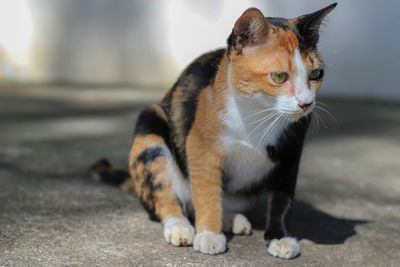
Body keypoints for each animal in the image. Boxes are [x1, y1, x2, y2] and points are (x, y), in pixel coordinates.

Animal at [90, 3, 338, 260]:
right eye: (279, 76)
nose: (306, 103)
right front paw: (209, 234)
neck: (257, 114)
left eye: (316, 74)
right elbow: (206, 188)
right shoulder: (200, 144)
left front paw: (279, 237)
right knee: (166, 194)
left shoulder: (291, 150)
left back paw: (230, 219)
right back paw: (179, 225)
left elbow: (282, 196)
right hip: (150, 128)